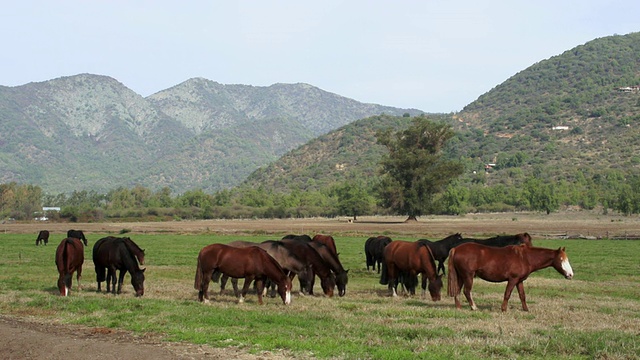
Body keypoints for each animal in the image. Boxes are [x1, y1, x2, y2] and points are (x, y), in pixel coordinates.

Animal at [444, 243, 576, 310]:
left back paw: (459, 307)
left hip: (461, 276)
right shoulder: (513, 279)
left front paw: (526, 309)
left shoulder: (519, 281)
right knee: (467, 291)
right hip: (468, 276)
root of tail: (456, 249)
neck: (525, 257)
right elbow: (507, 294)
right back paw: (474, 307)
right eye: (561, 259)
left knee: (458, 291)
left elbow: (522, 295)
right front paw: (503, 309)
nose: (570, 275)